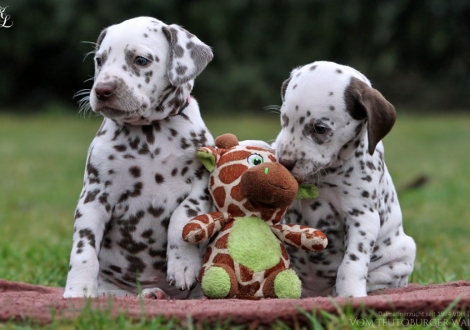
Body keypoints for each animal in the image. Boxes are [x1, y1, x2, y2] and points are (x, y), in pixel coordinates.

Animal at [63, 16, 214, 300]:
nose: (102, 90)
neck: (149, 134)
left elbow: (181, 218)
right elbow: (83, 247)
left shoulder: (202, 186)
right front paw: (78, 289)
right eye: (99, 60)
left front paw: (183, 265)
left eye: (140, 60)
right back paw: (148, 294)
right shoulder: (94, 196)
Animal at [274, 60, 416, 298]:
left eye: (320, 129)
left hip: (402, 255)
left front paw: (350, 295)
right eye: (284, 120)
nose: (284, 162)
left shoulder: (362, 217)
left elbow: (352, 263)